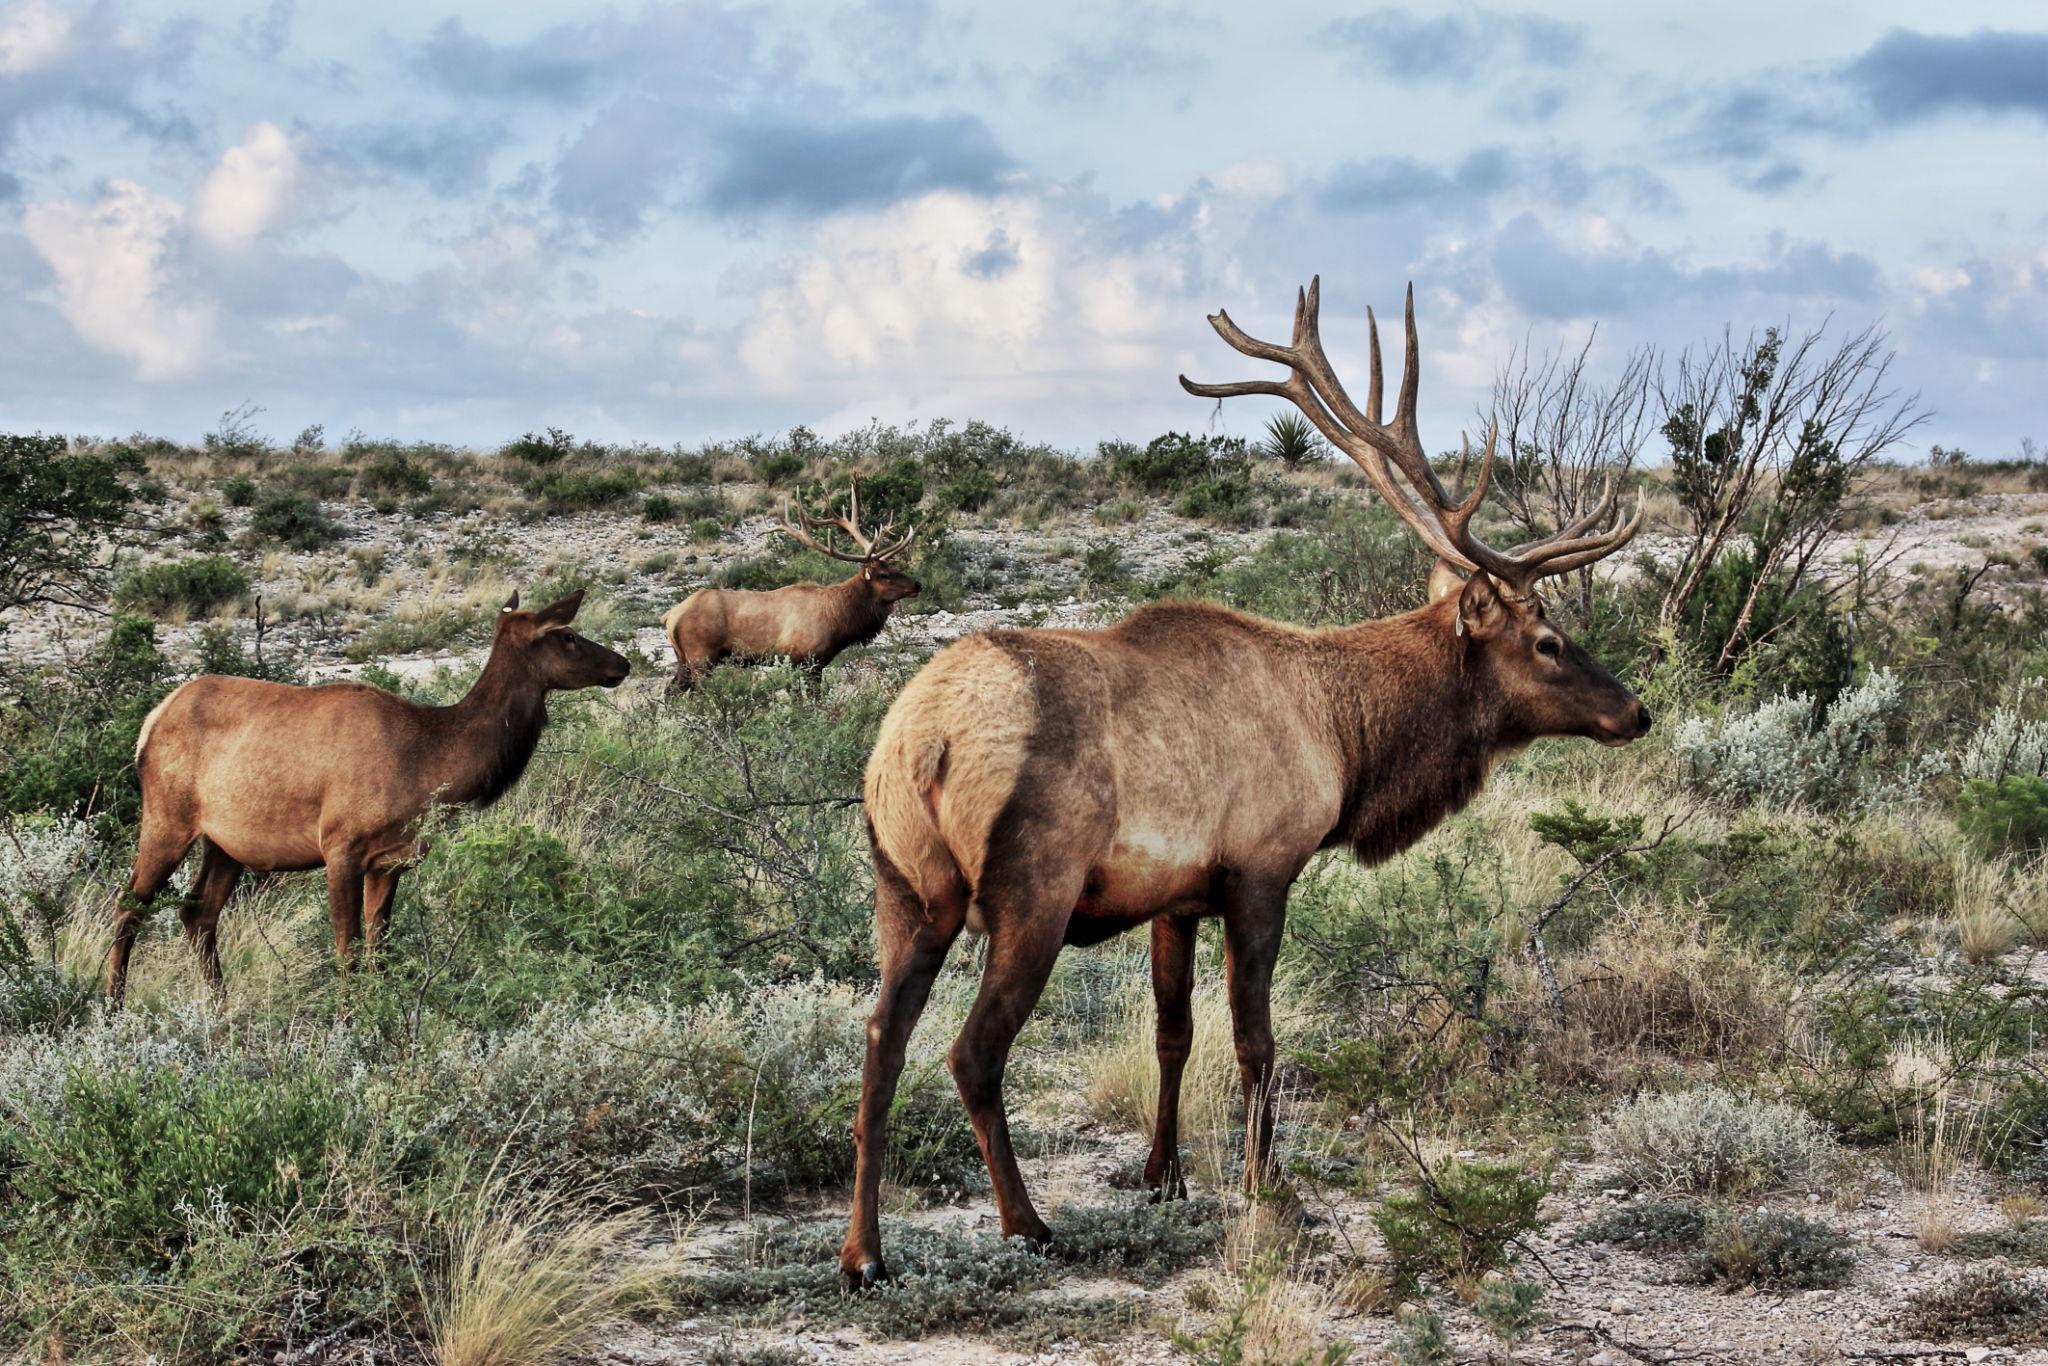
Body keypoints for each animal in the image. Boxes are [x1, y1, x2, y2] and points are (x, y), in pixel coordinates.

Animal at [106, 590, 629, 1003]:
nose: (622, 663)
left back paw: (221, 1011)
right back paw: (113, 1008)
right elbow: (347, 950)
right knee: (129, 905)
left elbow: (379, 950)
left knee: (197, 912)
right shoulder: (341, 846)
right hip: (167, 819)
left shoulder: (390, 859)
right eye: (567, 635)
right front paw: (348, 1027)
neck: (429, 762)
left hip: (227, 842)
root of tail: (150, 723)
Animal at [662, 482, 920, 690]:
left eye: (894, 565)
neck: (839, 621)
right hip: (701, 657)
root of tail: (670, 616)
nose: (918, 584)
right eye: (885, 574)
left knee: (671, 691)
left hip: (684, 659)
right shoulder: (804, 659)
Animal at [838, 279, 1652, 1287]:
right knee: (972, 1052)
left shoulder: (1176, 895)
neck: (1344, 739)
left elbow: (1172, 1032)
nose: (1636, 710)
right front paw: (1275, 1187)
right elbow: (1254, 1038)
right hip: (1032, 888)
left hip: (904, 886)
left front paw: (1164, 1176)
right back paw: (1025, 1223)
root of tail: (922, 743)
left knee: (880, 1040)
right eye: (1547, 641)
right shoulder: (1263, 868)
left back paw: (863, 1252)